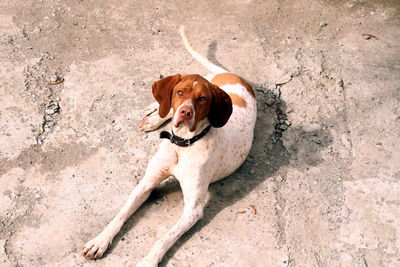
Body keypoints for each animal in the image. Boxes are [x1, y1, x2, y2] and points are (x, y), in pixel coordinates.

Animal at [82, 25, 256, 267]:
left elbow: (165, 237)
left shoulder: (193, 210)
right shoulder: (147, 182)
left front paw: (148, 261)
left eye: (202, 99)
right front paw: (100, 240)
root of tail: (238, 78)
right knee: (163, 108)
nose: (185, 112)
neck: (181, 145)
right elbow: (121, 214)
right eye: (180, 92)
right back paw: (152, 114)